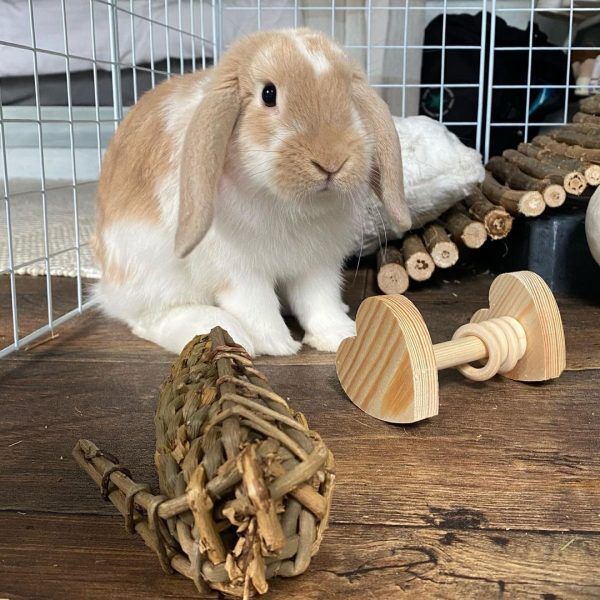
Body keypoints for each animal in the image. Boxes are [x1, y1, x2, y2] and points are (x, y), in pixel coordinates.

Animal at [92, 28, 412, 356]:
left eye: (349, 93)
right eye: (268, 94)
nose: (331, 162)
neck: (290, 203)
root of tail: (107, 288)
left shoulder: (317, 265)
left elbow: (319, 300)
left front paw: (339, 336)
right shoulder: (239, 272)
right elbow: (257, 305)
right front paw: (277, 345)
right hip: (152, 273)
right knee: (148, 319)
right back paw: (223, 331)